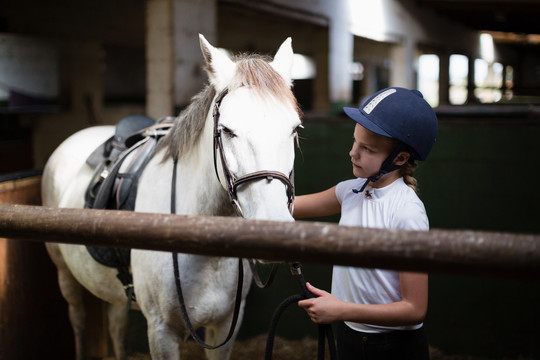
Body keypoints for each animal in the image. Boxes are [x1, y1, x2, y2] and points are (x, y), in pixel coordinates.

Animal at [42, 35, 302, 360]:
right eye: (227, 130)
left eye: (294, 129)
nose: (274, 226)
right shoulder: (161, 332)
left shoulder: (225, 327)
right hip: (65, 275)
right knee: (77, 317)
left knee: (115, 324)